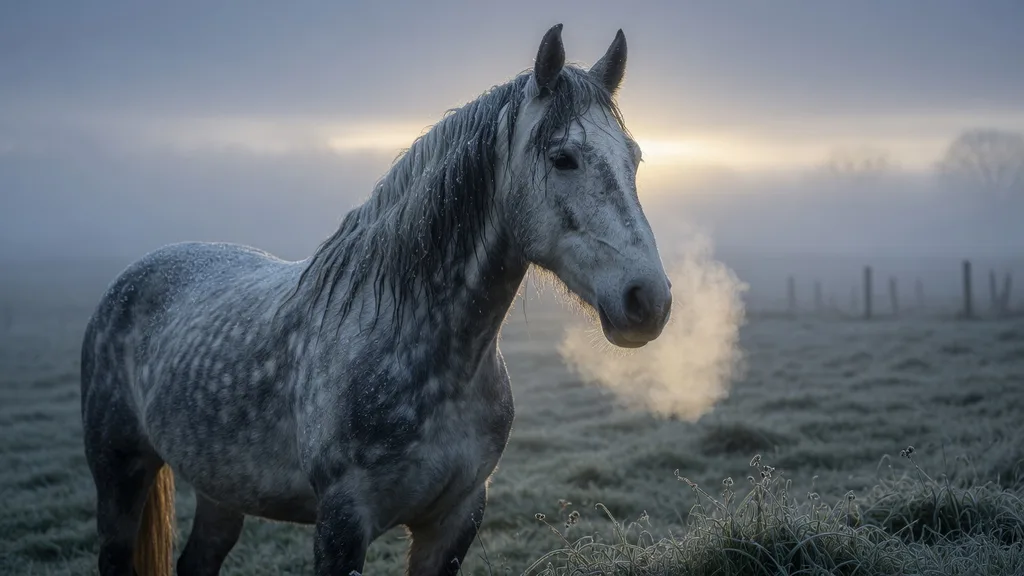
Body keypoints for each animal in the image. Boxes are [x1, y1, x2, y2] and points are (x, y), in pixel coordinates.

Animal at [80, 23, 673, 576]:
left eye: (635, 159)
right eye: (563, 158)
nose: (649, 300)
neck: (425, 355)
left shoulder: (456, 518)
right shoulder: (343, 522)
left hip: (221, 486)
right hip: (119, 471)